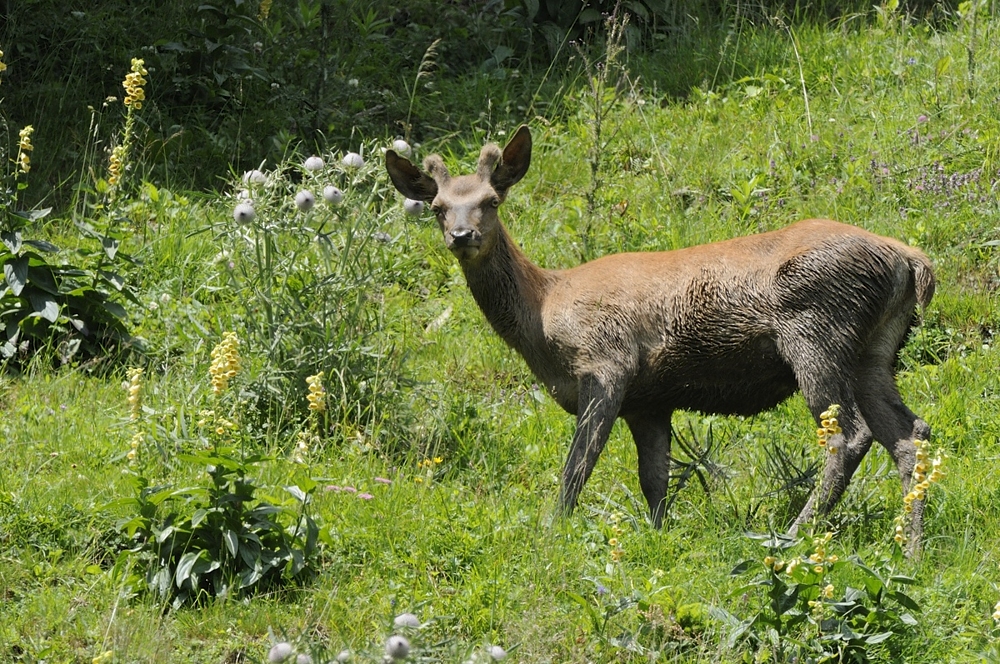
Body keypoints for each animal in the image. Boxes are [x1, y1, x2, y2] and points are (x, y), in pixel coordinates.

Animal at [384, 127, 936, 548]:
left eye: (491, 201)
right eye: (438, 206)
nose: (462, 236)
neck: (544, 313)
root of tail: (910, 261)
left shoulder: (607, 364)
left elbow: (577, 467)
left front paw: (551, 533)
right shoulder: (648, 401)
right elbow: (655, 481)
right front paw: (658, 539)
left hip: (815, 332)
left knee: (848, 435)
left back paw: (792, 535)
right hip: (873, 352)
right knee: (911, 434)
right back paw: (911, 548)